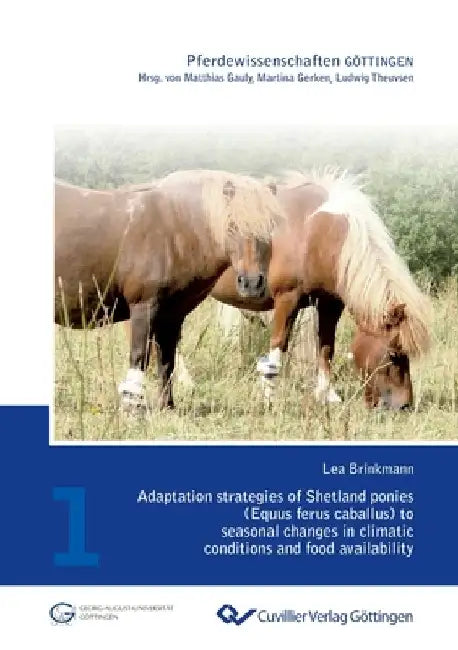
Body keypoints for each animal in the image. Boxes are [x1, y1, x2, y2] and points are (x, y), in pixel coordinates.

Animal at [54, 169, 285, 409]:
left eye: (270, 228)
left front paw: (167, 405)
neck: (176, 229)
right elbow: (140, 356)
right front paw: (132, 406)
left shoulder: (172, 315)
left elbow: (167, 361)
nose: (252, 283)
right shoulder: (144, 307)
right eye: (231, 226)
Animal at [210, 171, 431, 409]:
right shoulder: (287, 299)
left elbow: (326, 347)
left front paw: (327, 395)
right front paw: (270, 396)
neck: (314, 233)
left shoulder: (330, 304)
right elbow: (278, 346)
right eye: (393, 354)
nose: (405, 405)